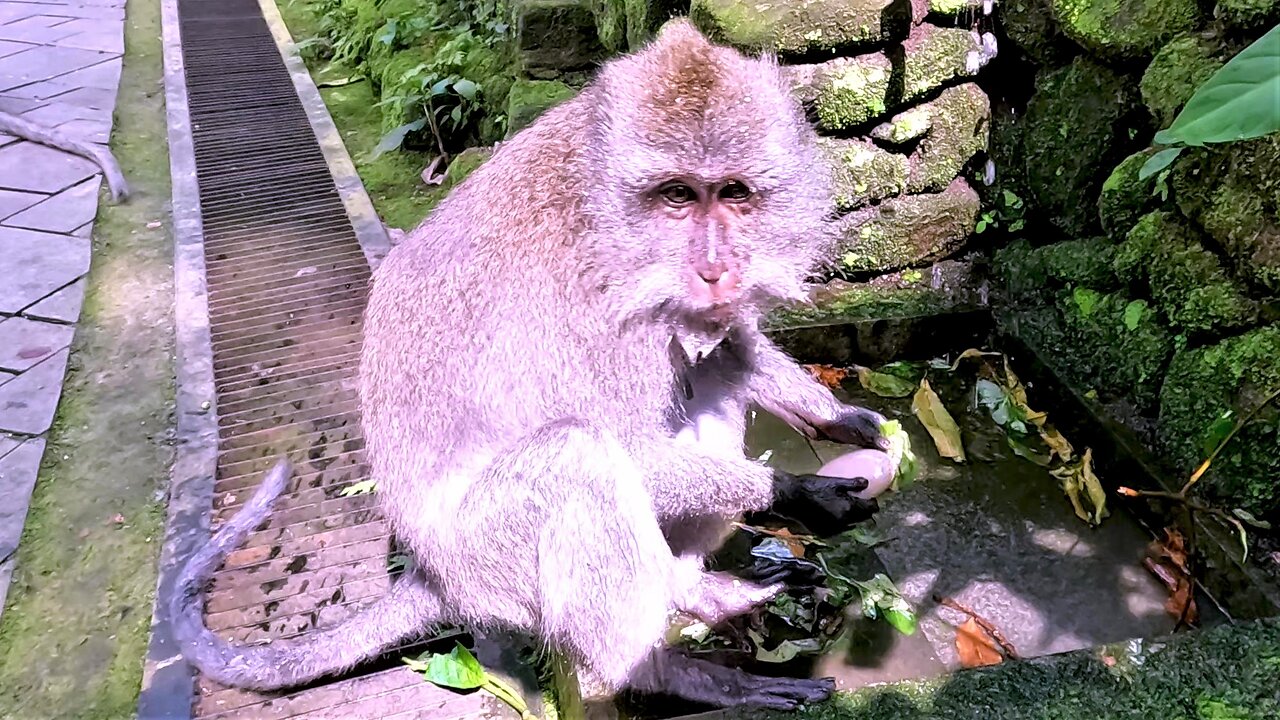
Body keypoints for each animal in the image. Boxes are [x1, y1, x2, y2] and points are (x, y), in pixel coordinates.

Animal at [172, 19, 890, 707]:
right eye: (678, 196)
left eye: (735, 193)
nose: (715, 269)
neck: (602, 204)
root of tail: (435, 575)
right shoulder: (602, 309)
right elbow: (633, 452)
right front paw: (792, 488)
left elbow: (732, 348)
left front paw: (840, 424)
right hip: (492, 561)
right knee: (579, 458)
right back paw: (666, 675)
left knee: (704, 372)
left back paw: (693, 589)